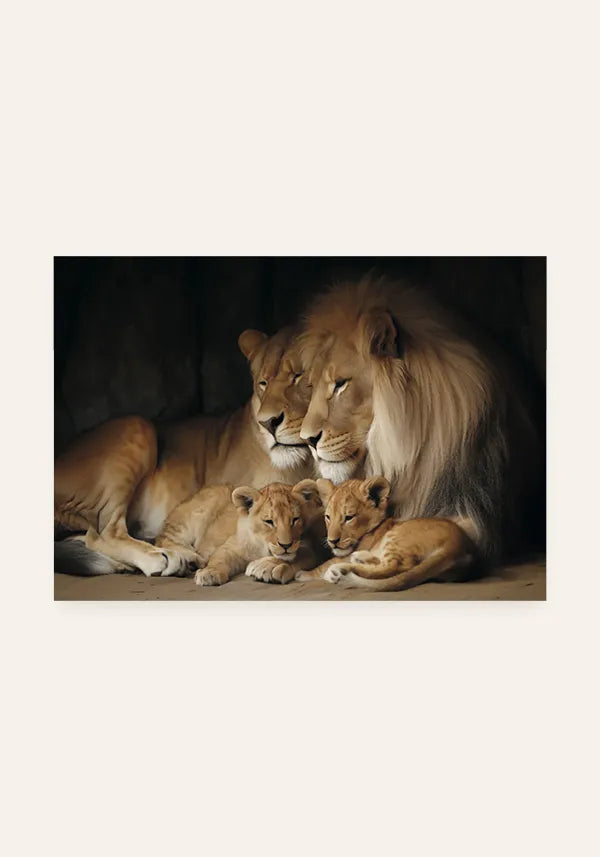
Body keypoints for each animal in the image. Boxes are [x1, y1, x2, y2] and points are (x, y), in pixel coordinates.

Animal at [54, 327, 314, 577]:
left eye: (298, 376)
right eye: (263, 383)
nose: (268, 423)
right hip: (137, 424)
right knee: (104, 532)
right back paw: (166, 558)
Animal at [191, 481, 325, 586]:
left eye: (295, 519)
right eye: (269, 521)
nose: (286, 545)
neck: (262, 546)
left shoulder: (309, 549)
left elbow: (295, 557)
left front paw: (267, 566)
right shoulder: (232, 546)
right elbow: (220, 557)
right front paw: (209, 572)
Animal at [296, 477, 475, 591]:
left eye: (349, 517)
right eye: (328, 517)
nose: (332, 541)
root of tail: (457, 544)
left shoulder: (344, 553)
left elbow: (324, 564)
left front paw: (303, 574)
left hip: (396, 536)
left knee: (394, 568)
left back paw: (339, 571)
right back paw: (360, 558)